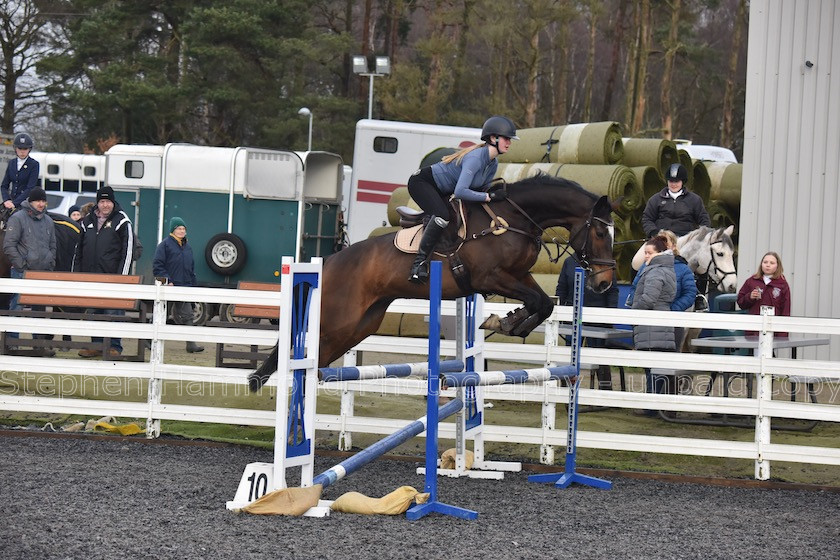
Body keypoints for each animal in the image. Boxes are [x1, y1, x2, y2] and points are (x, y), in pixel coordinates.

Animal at [249, 174, 616, 390]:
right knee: (298, 353)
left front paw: (509, 322)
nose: (604, 283)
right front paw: (507, 322)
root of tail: (329, 261)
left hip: (358, 326)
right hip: (336, 320)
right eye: (600, 232)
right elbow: (538, 301)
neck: (513, 219)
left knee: (320, 360)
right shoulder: (491, 277)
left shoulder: (518, 275)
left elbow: (543, 303)